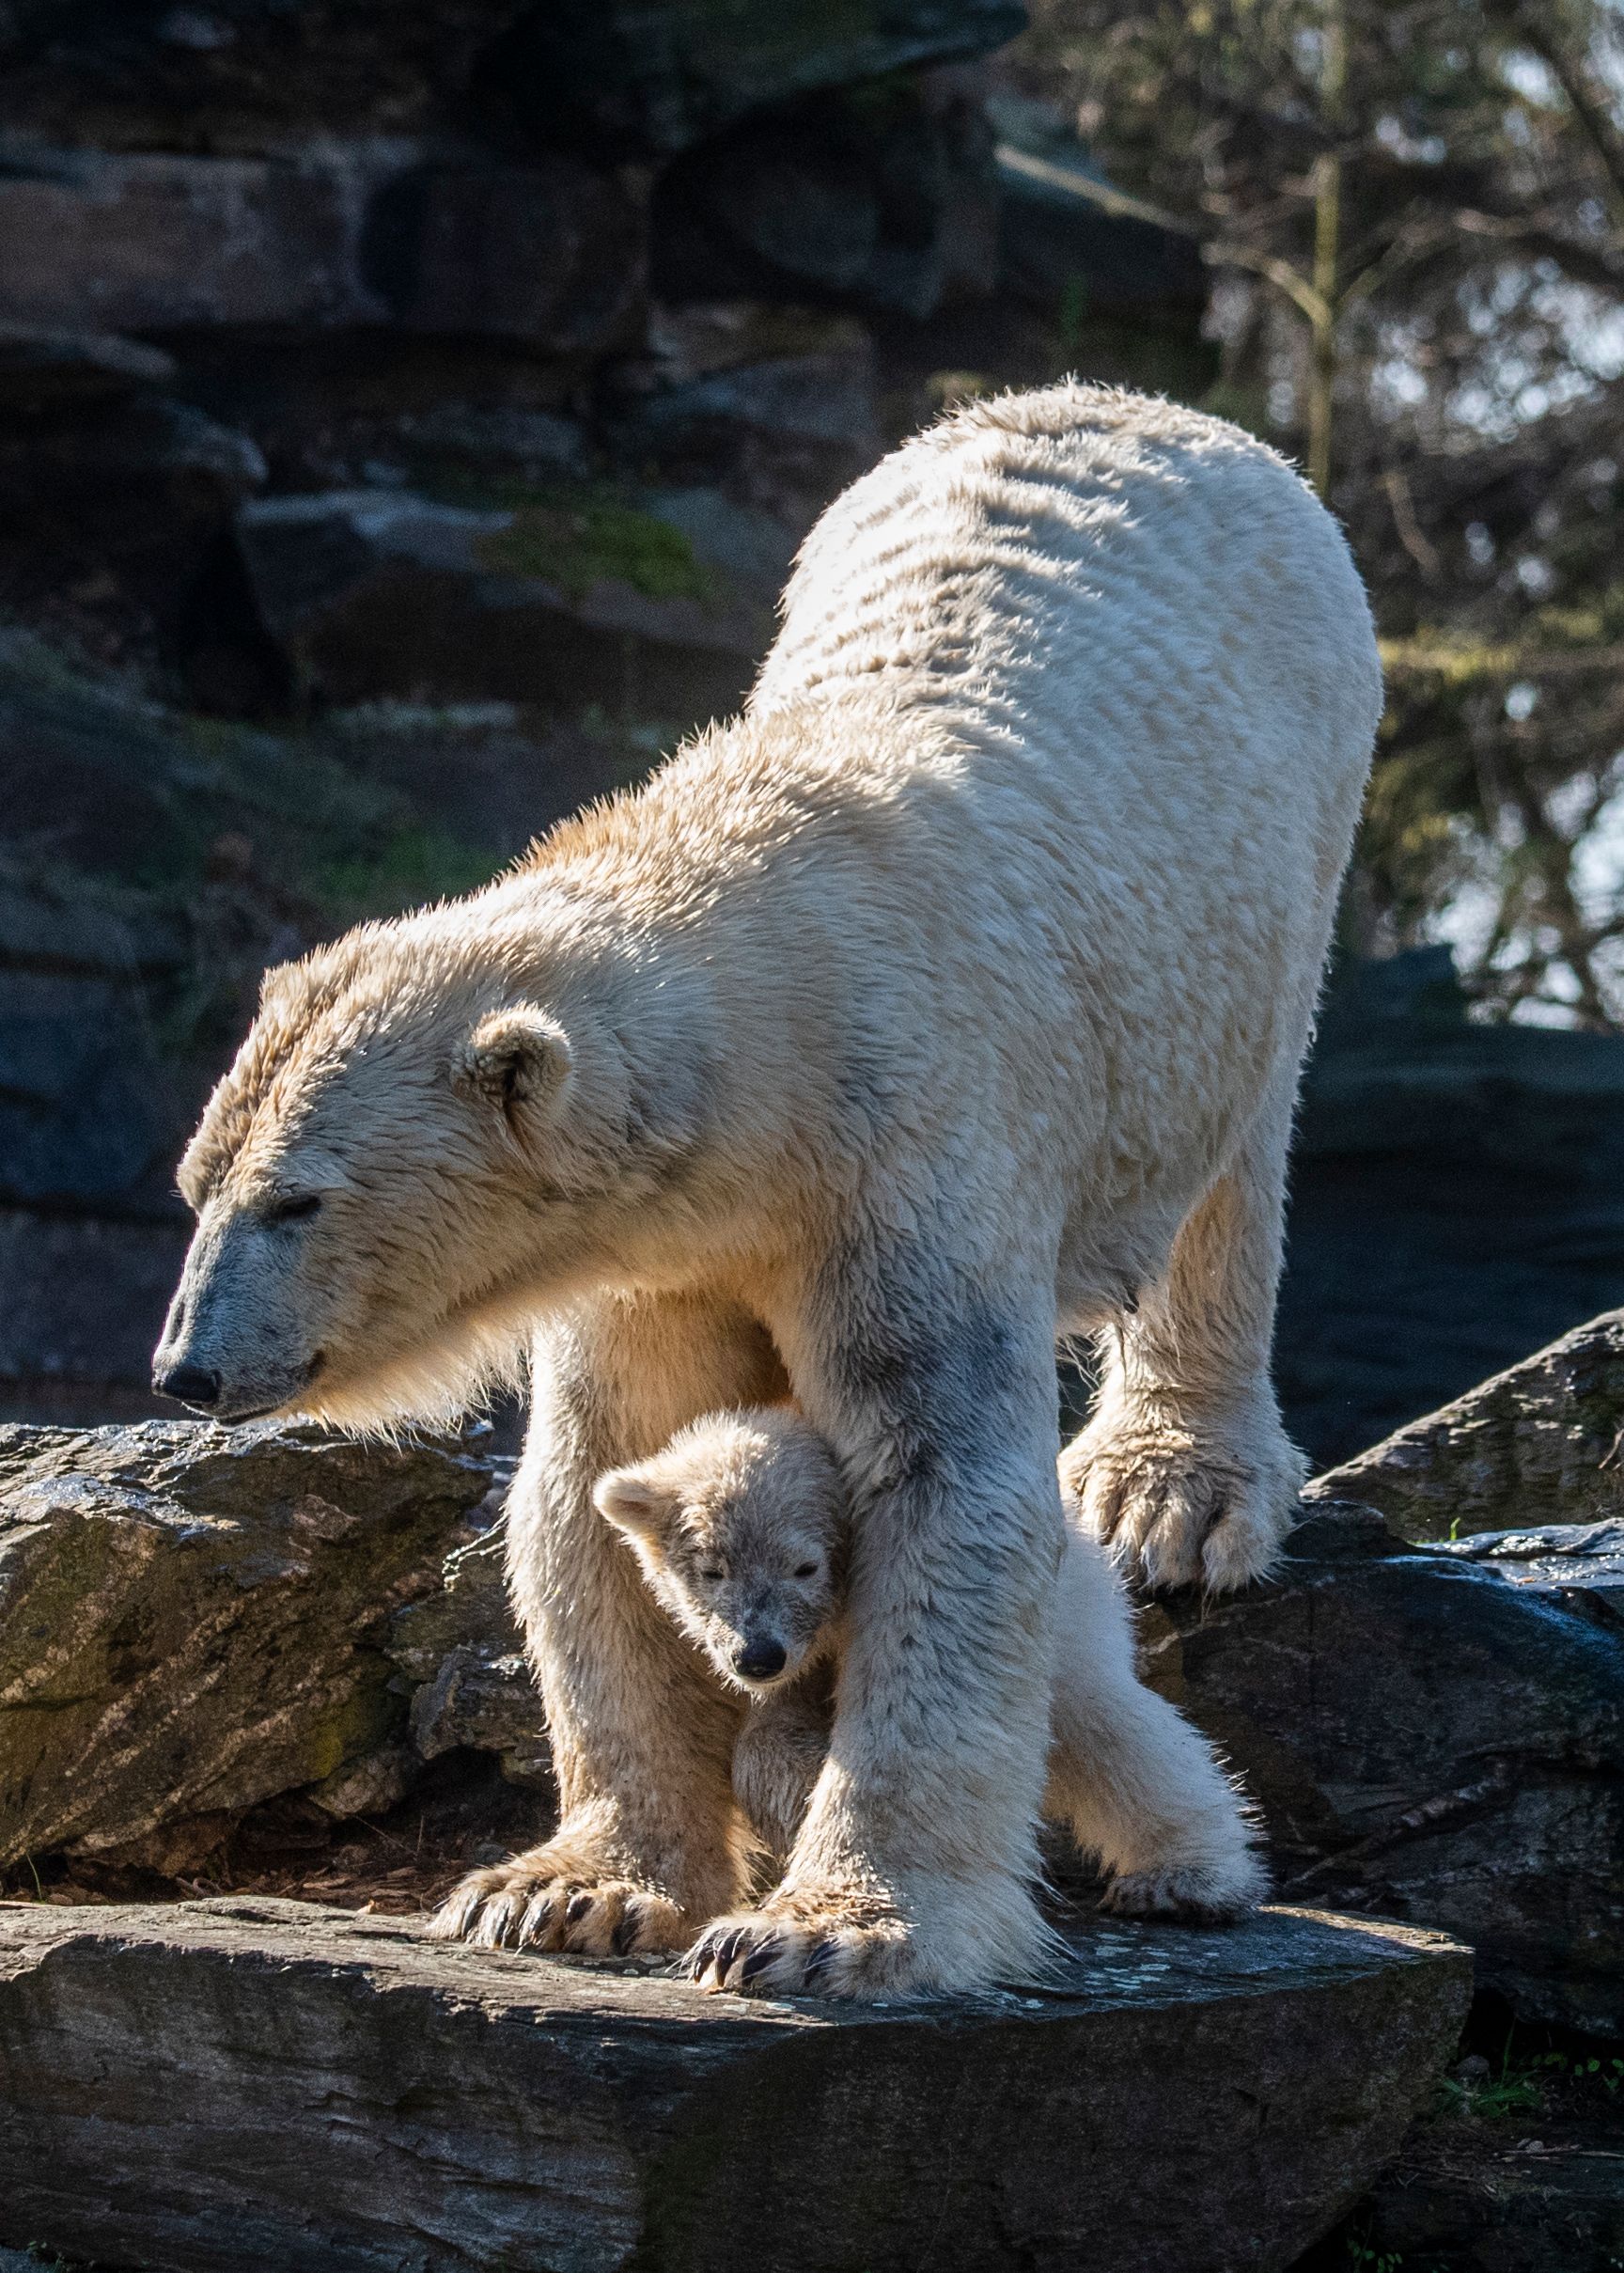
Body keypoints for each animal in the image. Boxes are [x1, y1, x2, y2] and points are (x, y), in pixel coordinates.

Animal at [155, 386, 1381, 1991]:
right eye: (194, 1184)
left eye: (295, 1199)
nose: (184, 1369)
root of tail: (1139, 404)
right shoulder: (660, 1248)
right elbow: (602, 1483)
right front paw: (567, 1888)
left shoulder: (906, 1168)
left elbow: (946, 1492)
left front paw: (830, 1930)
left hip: (1271, 862)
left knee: (1235, 1155)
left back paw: (1170, 1489)